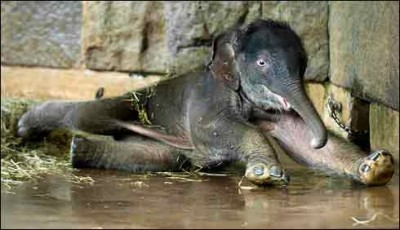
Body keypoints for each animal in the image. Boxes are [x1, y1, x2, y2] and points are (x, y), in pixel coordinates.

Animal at [18, 18, 394, 187]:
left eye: (302, 65)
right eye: (262, 63)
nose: (329, 126)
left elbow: (300, 143)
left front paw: (376, 166)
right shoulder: (206, 95)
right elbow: (213, 127)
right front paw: (265, 174)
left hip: (162, 148)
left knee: (159, 156)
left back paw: (76, 151)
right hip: (128, 105)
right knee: (87, 115)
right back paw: (25, 126)